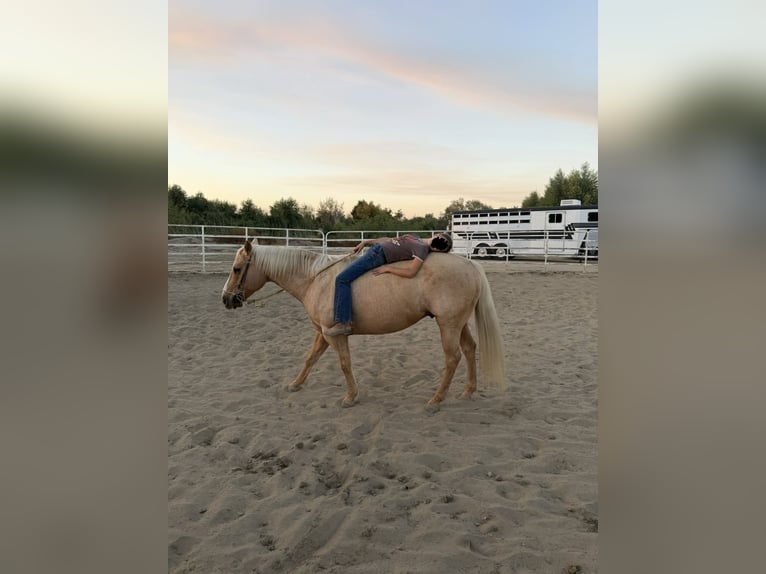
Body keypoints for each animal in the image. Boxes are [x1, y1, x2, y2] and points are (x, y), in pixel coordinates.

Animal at [221, 239, 507, 410]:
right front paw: (295, 384)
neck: (316, 279)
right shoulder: (322, 333)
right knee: (469, 349)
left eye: (236, 269)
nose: (226, 299)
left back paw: (436, 400)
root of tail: (470, 264)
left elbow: (344, 364)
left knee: (452, 358)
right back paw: (468, 391)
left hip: (448, 325)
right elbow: (310, 359)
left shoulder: (334, 334)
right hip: (457, 323)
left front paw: (350, 397)